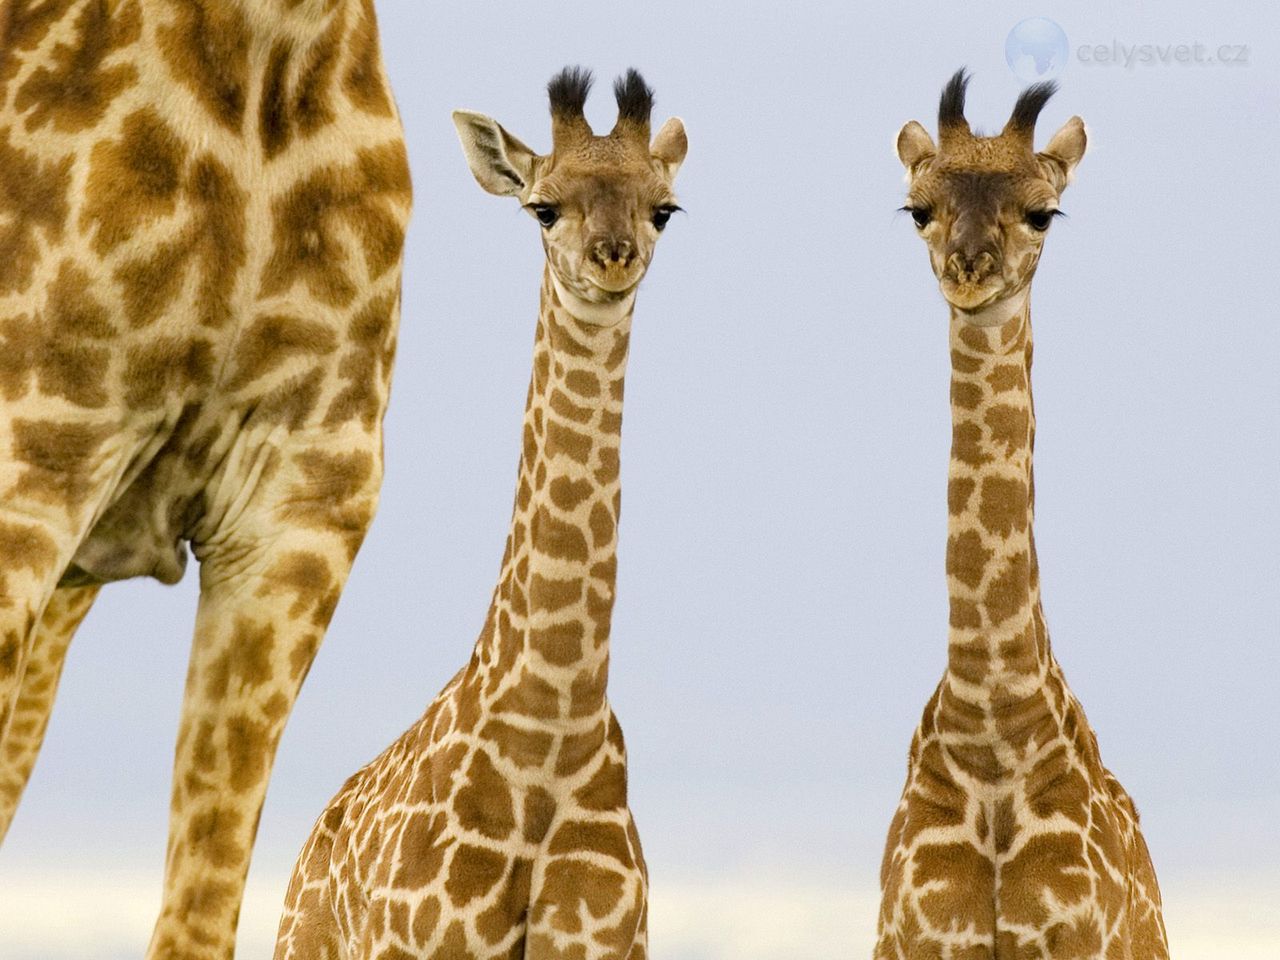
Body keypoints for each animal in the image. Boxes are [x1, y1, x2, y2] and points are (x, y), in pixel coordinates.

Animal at [272, 66, 687, 960]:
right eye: (544, 207)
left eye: (664, 207)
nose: (614, 257)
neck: (548, 734)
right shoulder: (429, 943)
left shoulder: (609, 942)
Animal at [874, 71, 1168, 960]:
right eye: (918, 208)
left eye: (1043, 211)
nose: (969, 270)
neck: (994, 728)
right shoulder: (915, 938)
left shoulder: (1080, 940)